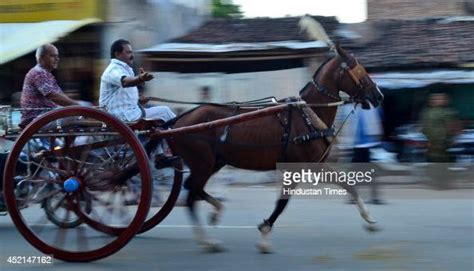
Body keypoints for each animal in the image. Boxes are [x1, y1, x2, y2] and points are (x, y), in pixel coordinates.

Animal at [172, 41, 384, 253]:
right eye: (358, 69)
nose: (378, 96)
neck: (307, 116)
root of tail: (178, 121)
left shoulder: (316, 165)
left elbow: (349, 185)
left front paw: (369, 218)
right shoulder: (296, 168)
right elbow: (282, 202)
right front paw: (264, 235)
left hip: (213, 163)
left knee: (192, 188)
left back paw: (215, 214)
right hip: (203, 164)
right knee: (191, 194)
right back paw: (208, 240)